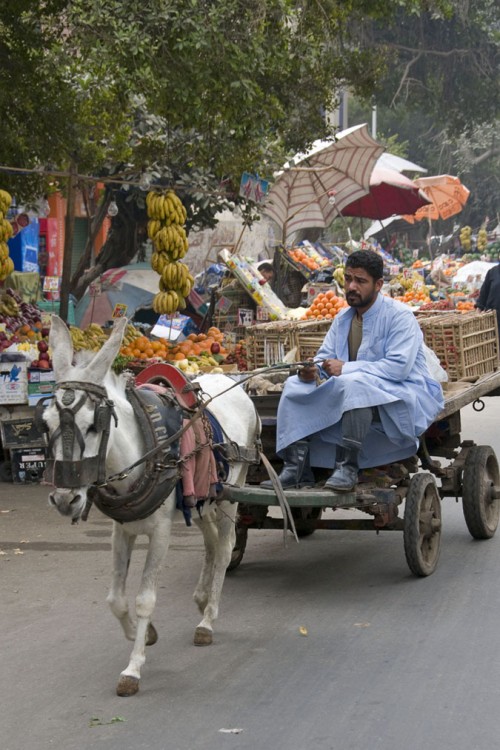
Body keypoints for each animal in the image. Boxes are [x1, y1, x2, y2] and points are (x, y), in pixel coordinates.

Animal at [43, 318, 262, 700]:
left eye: (94, 424)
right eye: (46, 424)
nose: (65, 500)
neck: (140, 452)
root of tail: (233, 382)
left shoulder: (159, 532)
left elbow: (145, 598)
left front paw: (133, 669)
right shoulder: (121, 529)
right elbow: (115, 598)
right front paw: (144, 636)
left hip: (230, 493)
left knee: (224, 547)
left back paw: (208, 619)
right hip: (201, 499)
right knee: (210, 541)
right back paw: (202, 598)